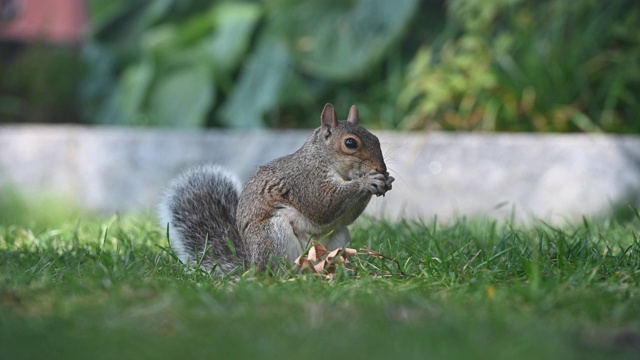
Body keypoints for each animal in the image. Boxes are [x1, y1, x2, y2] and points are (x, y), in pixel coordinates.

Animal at [158, 102, 392, 274]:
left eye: (376, 138)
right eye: (350, 143)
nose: (381, 168)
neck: (323, 160)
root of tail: (251, 267)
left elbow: (346, 217)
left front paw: (385, 180)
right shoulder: (306, 181)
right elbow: (323, 205)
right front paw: (367, 181)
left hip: (338, 239)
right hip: (272, 235)